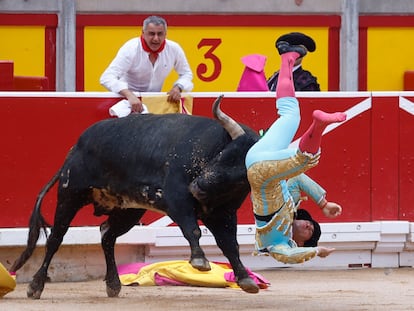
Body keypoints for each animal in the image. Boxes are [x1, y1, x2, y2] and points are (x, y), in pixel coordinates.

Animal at [10, 95, 258, 300]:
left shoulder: (223, 214)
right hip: (70, 195)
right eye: (225, 155)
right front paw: (200, 260)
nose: (196, 187)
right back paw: (35, 286)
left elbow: (230, 244)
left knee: (107, 235)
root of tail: (76, 147)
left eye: (241, 176)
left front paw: (245, 278)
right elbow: (193, 229)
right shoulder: (177, 198)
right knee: (55, 238)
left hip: (129, 211)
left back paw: (113, 284)